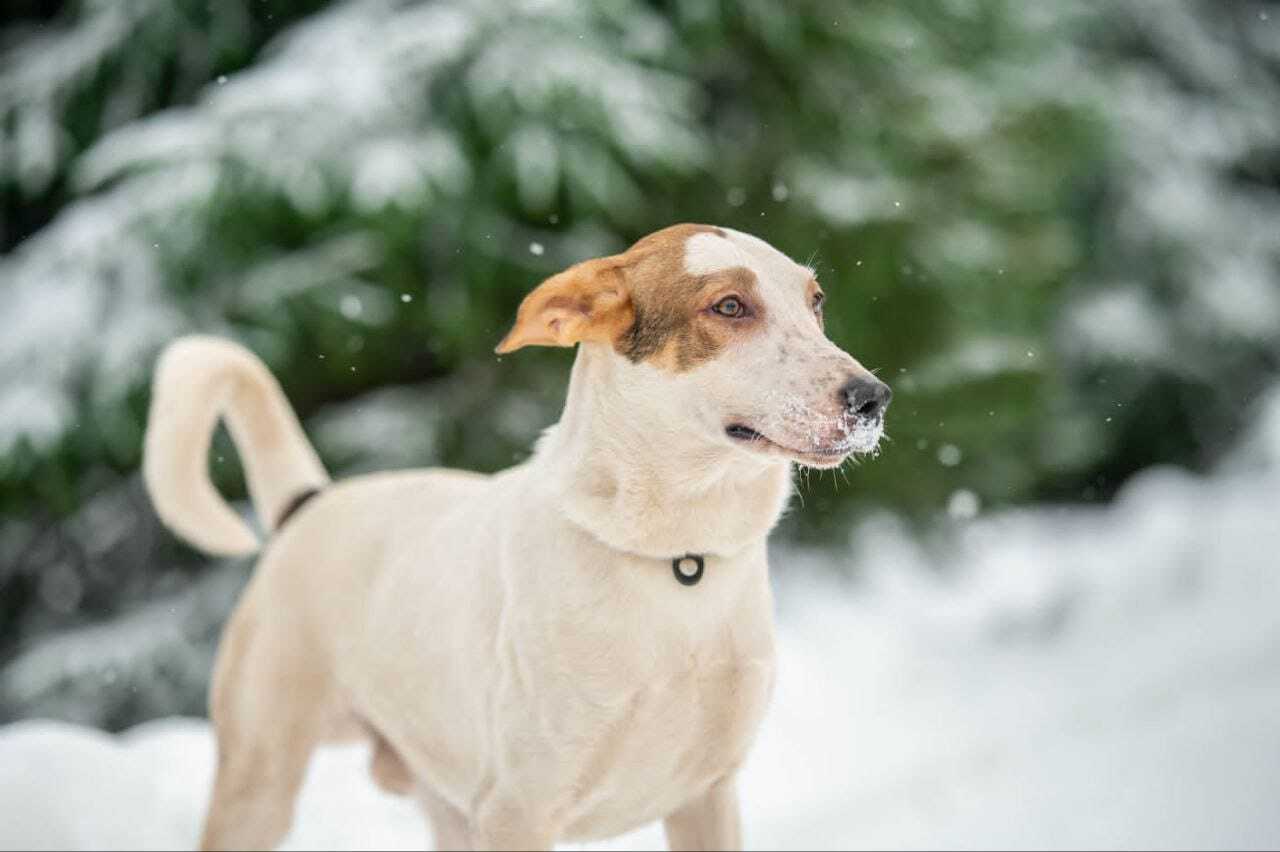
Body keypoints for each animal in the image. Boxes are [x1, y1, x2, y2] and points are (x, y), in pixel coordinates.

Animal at [145, 222, 890, 844]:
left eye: (816, 302)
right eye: (730, 306)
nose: (872, 398)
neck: (677, 557)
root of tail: (313, 504)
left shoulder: (707, 797)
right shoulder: (519, 809)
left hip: (446, 802)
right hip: (261, 777)